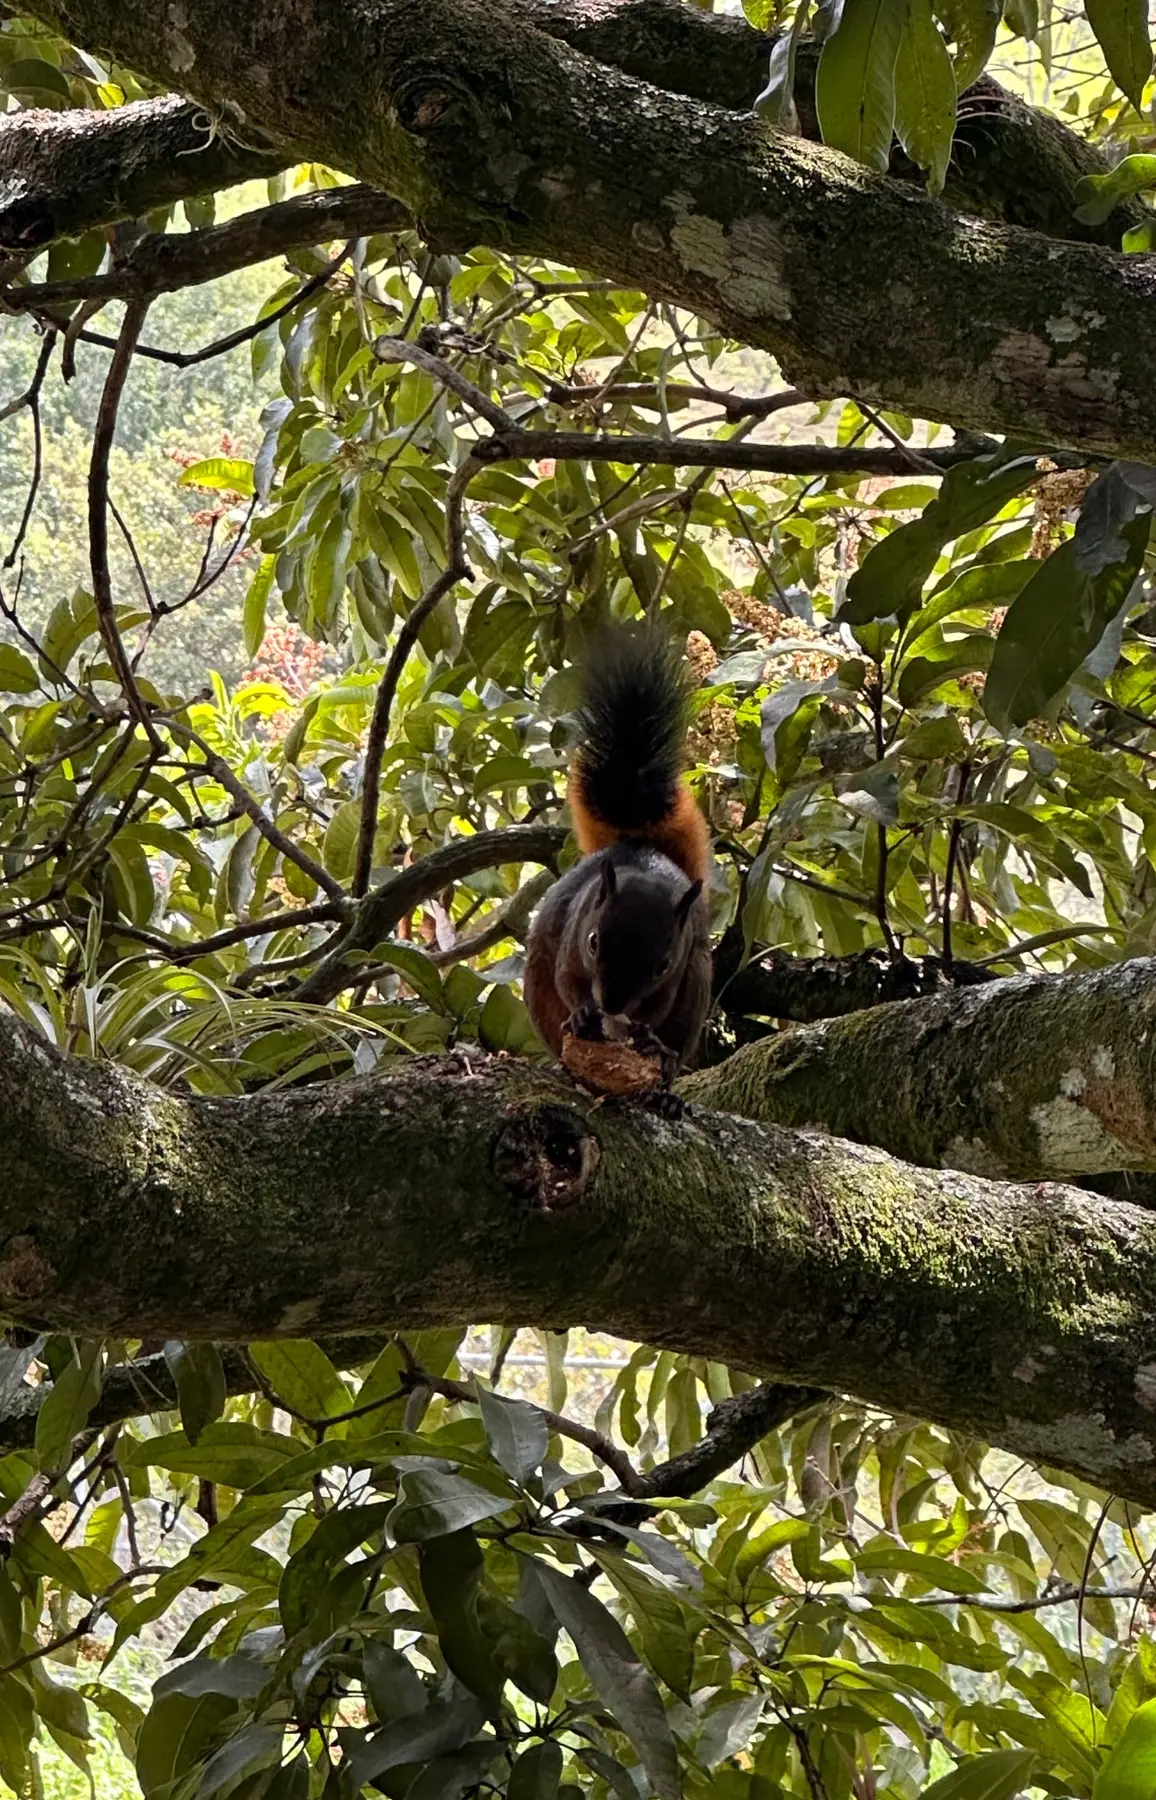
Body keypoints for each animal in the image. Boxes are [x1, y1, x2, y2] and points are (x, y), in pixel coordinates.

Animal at [524, 625, 712, 1090]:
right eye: (593, 941)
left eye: (662, 965)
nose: (610, 1003)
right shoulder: (571, 943)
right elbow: (568, 981)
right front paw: (582, 1012)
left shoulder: (675, 973)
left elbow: (657, 1008)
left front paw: (645, 1034)